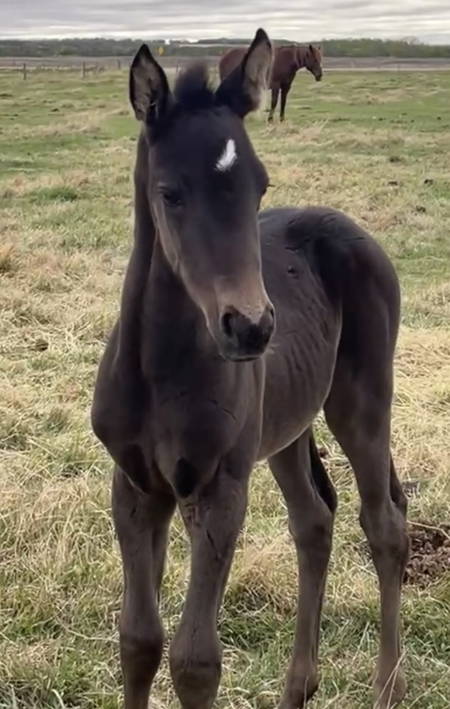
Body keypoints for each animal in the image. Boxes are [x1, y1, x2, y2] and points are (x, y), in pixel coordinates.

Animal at [91, 28, 409, 709]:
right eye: (170, 193)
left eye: (259, 186)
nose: (253, 327)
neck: (159, 372)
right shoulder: (136, 486)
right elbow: (139, 639)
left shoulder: (220, 488)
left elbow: (195, 661)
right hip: (286, 429)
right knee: (314, 522)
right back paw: (298, 687)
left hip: (362, 404)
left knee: (384, 526)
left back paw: (387, 685)